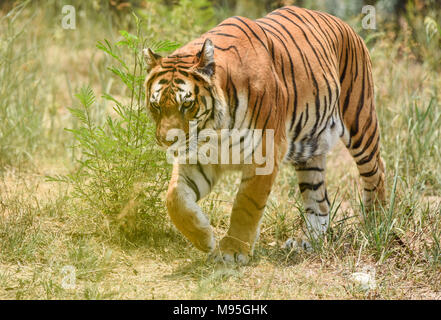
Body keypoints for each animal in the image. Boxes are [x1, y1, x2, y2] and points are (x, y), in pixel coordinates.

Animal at [143, 5, 384, 264]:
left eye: (186, 105)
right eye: (156, 106)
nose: (167, 140)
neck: (214, 130)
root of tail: (344, 24)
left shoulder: (266, 151)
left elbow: (246, 204)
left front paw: (231, 251)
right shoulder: (199, 156)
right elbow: (174, 199)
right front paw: (204, 237)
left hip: (361, 122)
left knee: (376, 171)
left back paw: (376, 223)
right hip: (310, 150)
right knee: (319, 200)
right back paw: (306, 241)